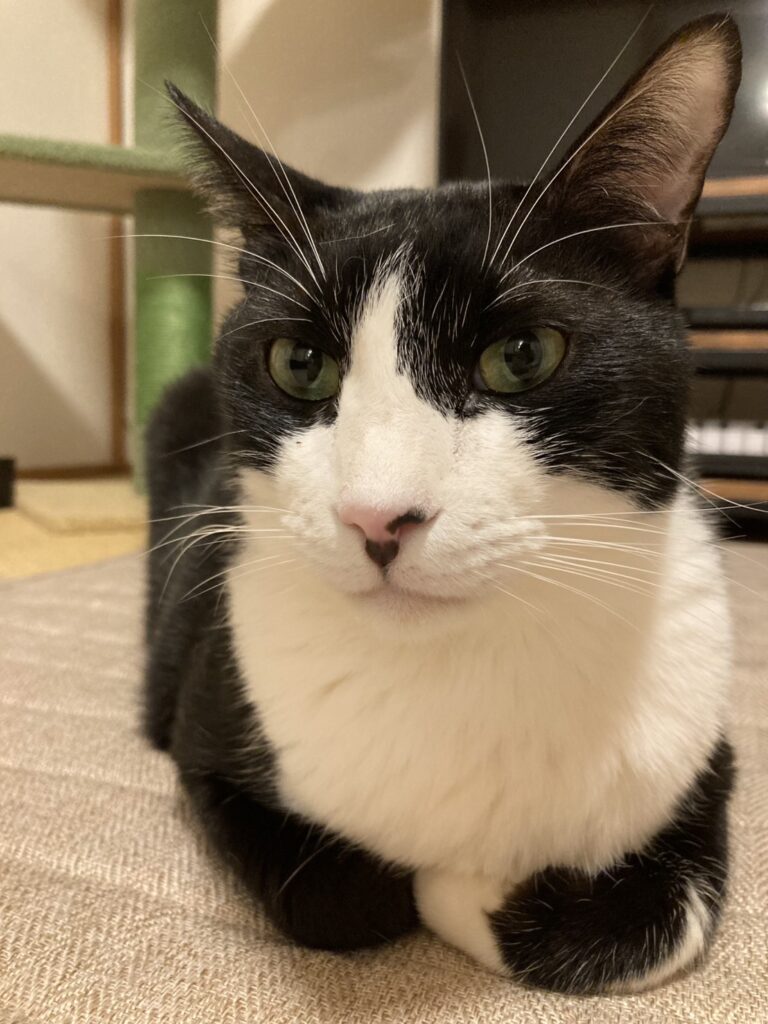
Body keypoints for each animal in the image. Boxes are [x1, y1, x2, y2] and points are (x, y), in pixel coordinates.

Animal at [144, 14, 741, 995]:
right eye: (300, 364)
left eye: (523, 356)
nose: (377, 517)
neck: (452, 661)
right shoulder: (202, 731)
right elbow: (352, 897)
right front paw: (445, 882)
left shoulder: (703, 750)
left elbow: (662, 922)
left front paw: (487, 887)